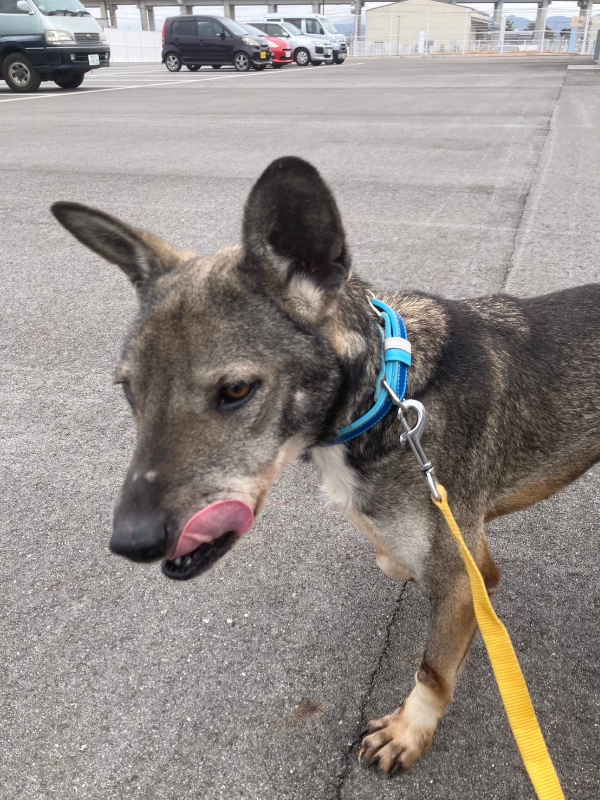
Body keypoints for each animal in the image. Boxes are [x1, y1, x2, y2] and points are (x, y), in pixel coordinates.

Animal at [52, 156, 600, 774]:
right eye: (128, 390)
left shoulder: (462, 577)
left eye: (236, 390)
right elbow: (393, 556)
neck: (389, 393)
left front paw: (410, 730)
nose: (131, 541)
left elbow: (434, 668)